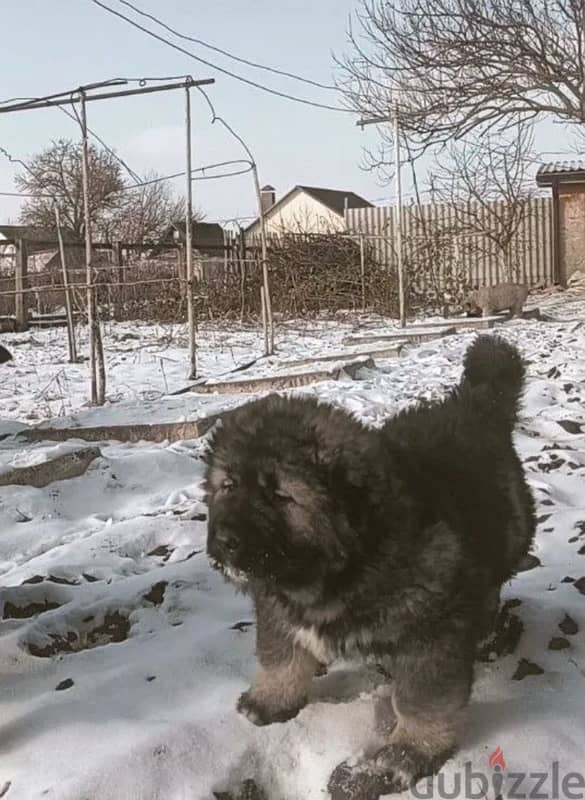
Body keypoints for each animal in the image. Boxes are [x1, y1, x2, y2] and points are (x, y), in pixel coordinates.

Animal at [204, 334, 532, 796]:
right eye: (228, 486)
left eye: (281, 496)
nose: (224, 542)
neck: (337, 572)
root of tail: (476, 403)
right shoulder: (277, 607)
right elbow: (280, 657)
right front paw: (270, 701)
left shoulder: (433, 630)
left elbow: (421, 699)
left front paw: (406, 753)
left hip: (509, 533)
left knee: (493, 582)